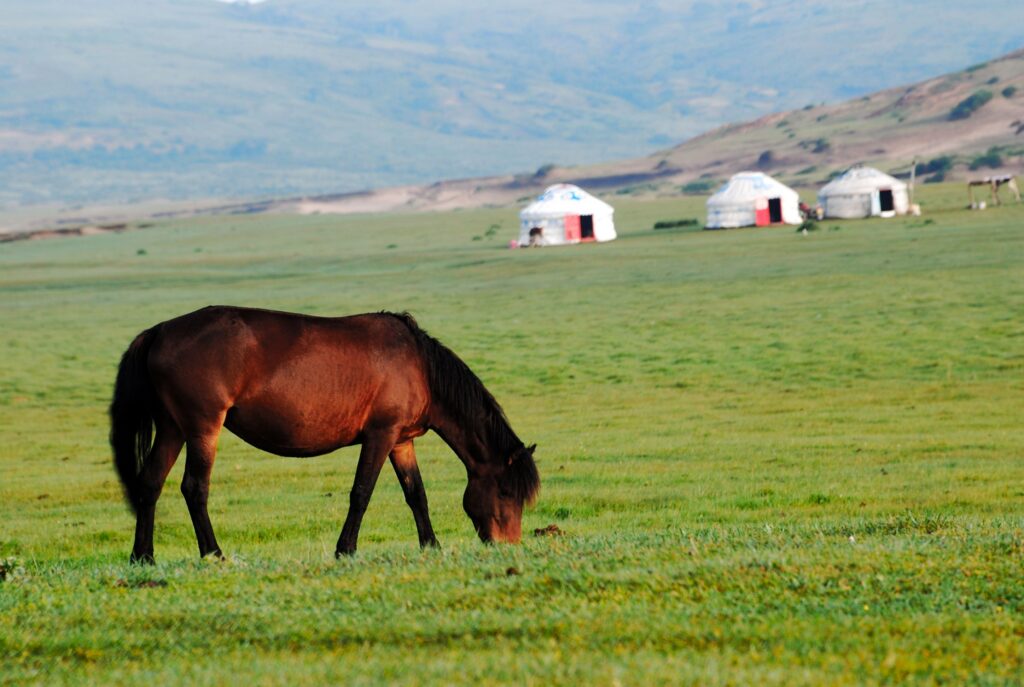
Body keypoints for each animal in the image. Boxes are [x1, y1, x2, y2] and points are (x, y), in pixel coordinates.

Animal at [109, 305, 539, 564]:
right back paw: (213, 552)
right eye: (505, 492)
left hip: (172, 429)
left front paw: (430, 544)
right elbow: (362, 493)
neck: (420, 366)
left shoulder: (402, 441)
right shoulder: (381, 435)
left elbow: (416, 494)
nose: (508, 545)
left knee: (150, 484)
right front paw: (345, 549)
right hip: (202, 429)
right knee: (194, 488)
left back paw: (142, 557)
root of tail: (160, 331)